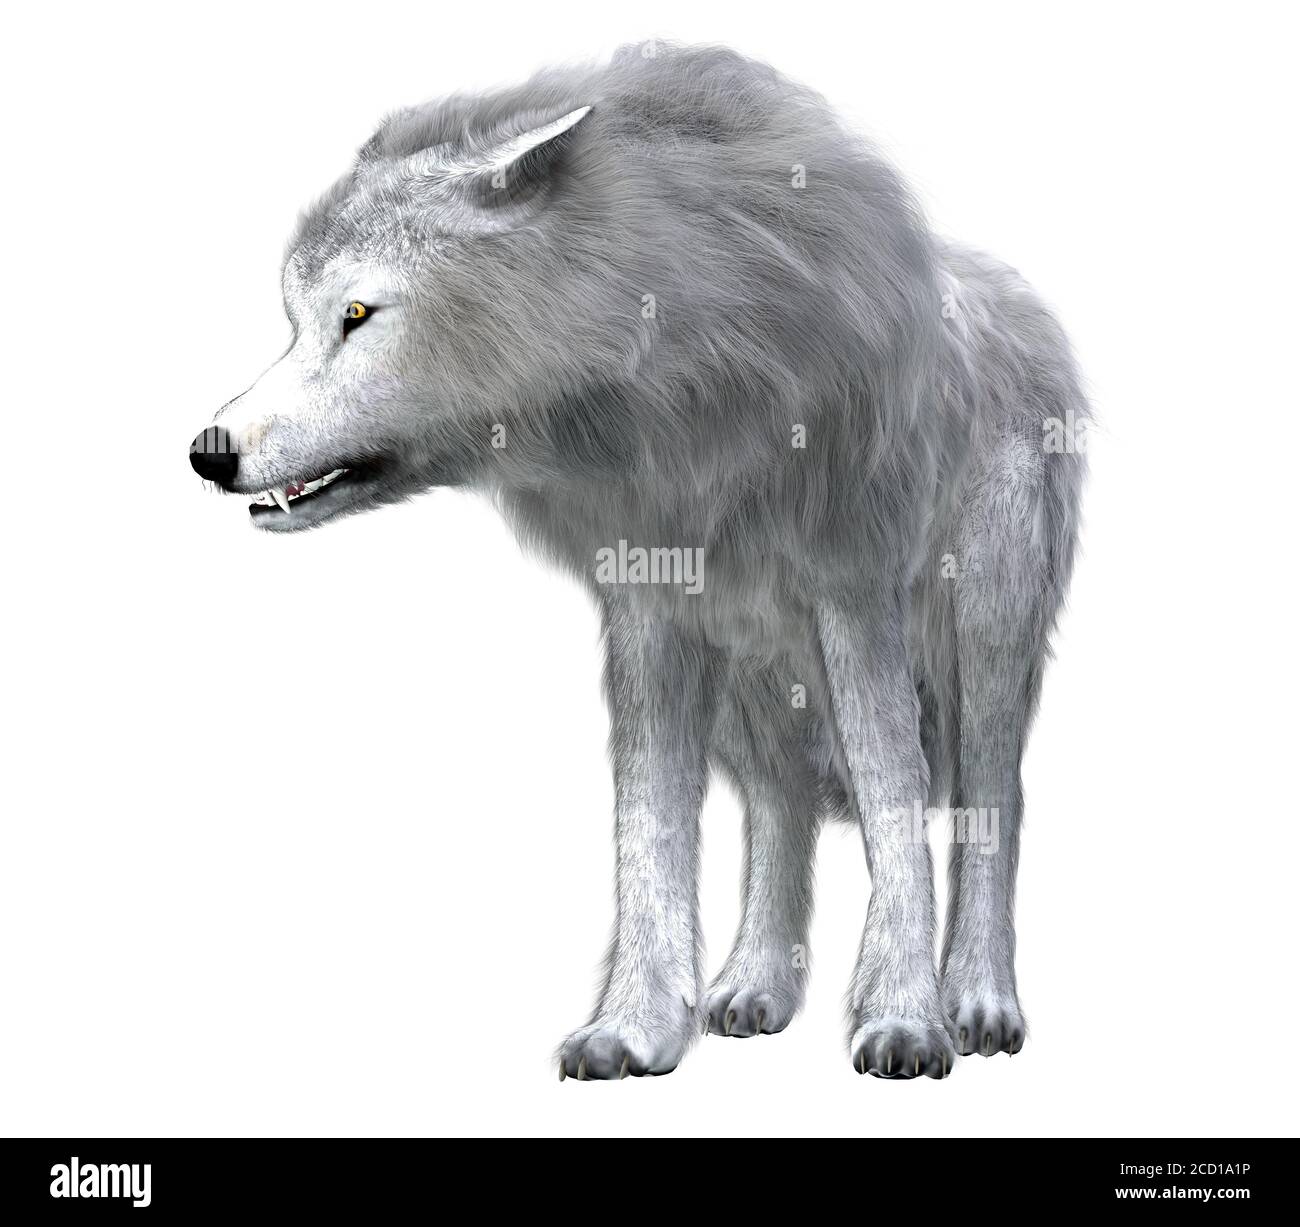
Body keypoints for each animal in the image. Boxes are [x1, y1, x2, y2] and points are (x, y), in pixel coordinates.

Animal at [190, 43, 1088, 1080]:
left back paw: (980, 1002)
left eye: (360, 313)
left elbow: (894, 803)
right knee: (780, 808)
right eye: (297, 319)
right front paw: (634, 1027)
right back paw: (754, 988)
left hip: (977, 649)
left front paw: (904, 1020)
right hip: (752, 678)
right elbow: (648, 827)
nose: (208, 451)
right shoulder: (650, 612)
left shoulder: (854, 591)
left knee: (992, 807)